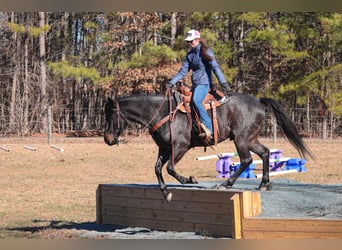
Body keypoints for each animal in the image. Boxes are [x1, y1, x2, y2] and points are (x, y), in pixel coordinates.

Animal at [103, 89, 312, 202]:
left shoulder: (180, 147)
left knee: (246, 160)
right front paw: (165, 193)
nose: (107, 139)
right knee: (265, 153)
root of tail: (258, 101)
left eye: (111, 115)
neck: (162, 112)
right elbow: (157, 169)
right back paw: (263, 183)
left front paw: (190, 179)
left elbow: (170, 168)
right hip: (250, 139)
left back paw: (225, 184)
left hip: (242, 140)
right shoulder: (165, 149)